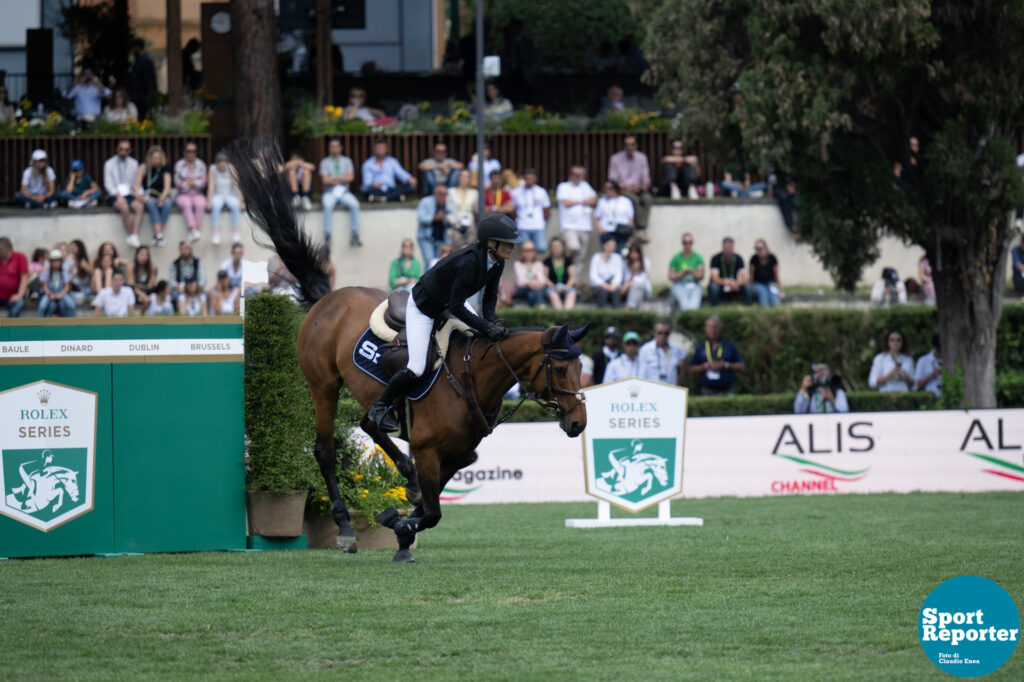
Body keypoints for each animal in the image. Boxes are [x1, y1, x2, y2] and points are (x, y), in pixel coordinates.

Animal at [228, 138, 589, 557]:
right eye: (560, 369)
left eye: (580, 368)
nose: (579, 423)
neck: (474, 377)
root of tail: (328, 299)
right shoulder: (428, 447)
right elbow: (432, 511)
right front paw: (402, 524)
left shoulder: (458, 451)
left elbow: (436, 497)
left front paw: (399, 520)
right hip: (324, 385)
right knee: (328, 448)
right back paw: (347, 525)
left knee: (370, 423)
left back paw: (398, 472)